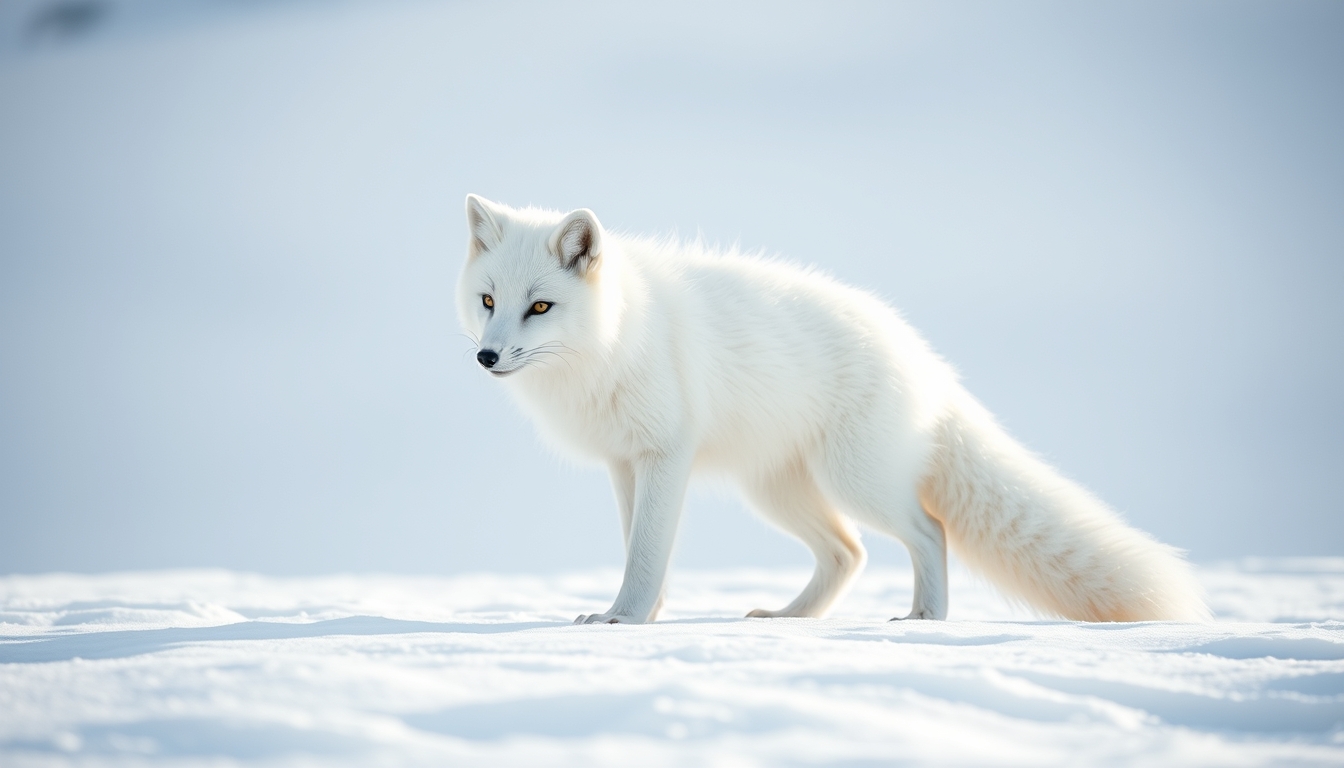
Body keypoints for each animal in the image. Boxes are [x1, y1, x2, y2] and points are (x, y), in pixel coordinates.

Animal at [456, 194, 1210, 625]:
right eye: (489, 301)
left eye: (541, 306)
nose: (486, 358)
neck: (615, 340)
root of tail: (928, 362)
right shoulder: (625, 465)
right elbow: (639, 547)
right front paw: (640, 615)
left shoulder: (664, 455)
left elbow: (646, 552)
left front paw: (626, 620)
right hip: (777, 491)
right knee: (849, 553)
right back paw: (789, 618)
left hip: (856, 483)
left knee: (930, 530)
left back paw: (926, 619)